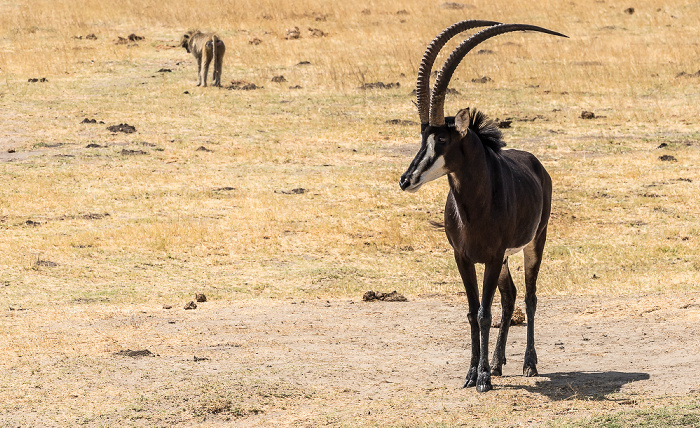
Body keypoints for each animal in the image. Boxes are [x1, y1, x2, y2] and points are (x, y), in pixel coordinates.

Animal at [402, 22, 568, 392]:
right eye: (422, 137)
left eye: (443, 139)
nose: (406, 180)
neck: (474, 209)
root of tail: (536, 164)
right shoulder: (463, 257)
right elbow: (471, 311)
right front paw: (472, 373)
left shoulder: (491, 257)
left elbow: (483, 312)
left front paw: (481, 379)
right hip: (505, 259)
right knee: (510, 297)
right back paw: (496, 362)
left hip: (534, 243)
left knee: (529, 297)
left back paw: (528, 364)